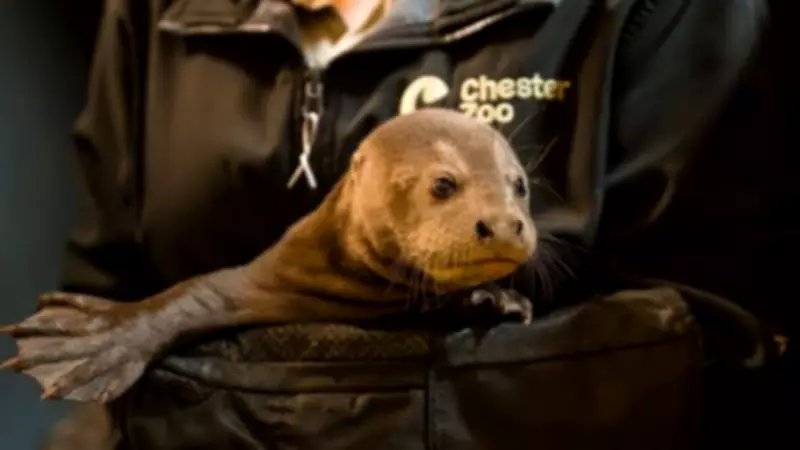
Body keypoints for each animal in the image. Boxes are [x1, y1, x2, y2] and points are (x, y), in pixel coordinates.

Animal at [0, 108, 537, 403]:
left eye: (521, 185)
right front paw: (96, 340)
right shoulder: (272, 272)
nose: (505, 226)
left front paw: (493, 299)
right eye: (443, 184)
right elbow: (190, 294)